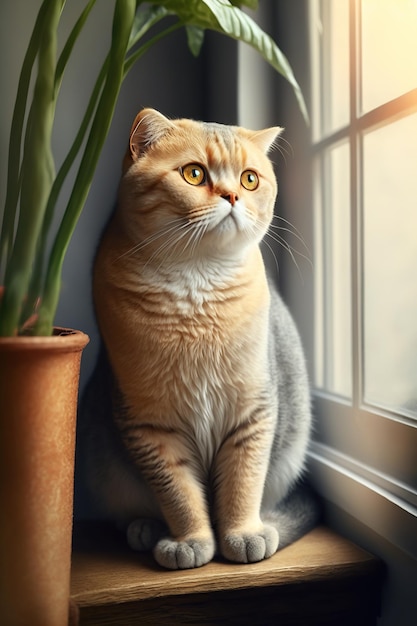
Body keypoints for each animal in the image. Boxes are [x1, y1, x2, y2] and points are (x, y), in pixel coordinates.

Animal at [79, 108, 316, 572]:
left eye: (249, 179)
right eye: (194, 174)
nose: (232, 197)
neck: (196, 288)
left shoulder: (252, 413)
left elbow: (242, 485)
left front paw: (242, 535)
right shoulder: (150, 426)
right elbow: (180, 494)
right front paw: (191, 542)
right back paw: (145, 530)